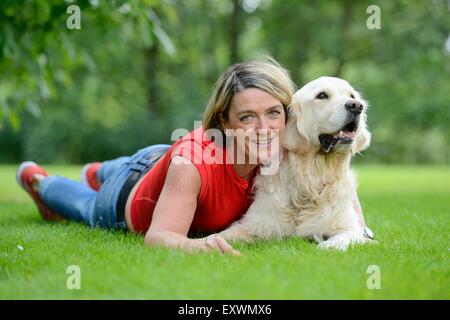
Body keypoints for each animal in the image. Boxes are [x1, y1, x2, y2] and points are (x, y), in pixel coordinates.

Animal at [220, 77, 374, 250]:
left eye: (352, 96)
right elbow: (217, 236)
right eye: (322, 95)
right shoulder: (253, 224)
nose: (356, 106)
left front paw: (327, 246)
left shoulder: (349, 227)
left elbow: (341, 239)